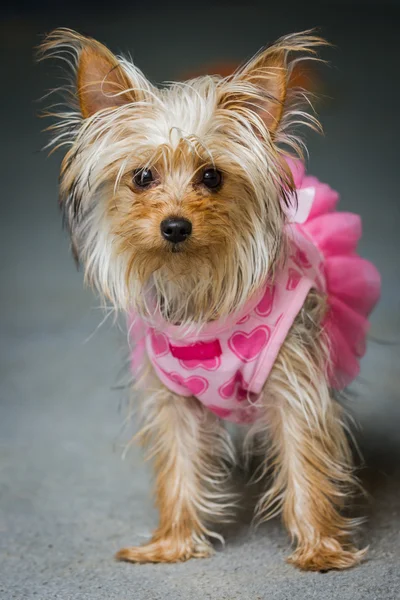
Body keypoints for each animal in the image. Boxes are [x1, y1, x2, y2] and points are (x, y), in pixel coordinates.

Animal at [39, 29, 382, 572]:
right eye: (142, 177)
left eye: (212, 177)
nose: (176, 226)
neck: (197, 290)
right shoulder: (173, 400)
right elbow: (179, 465)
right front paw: (173, 542)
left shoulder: (295, 384)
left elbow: (305, 459)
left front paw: (320, 548)